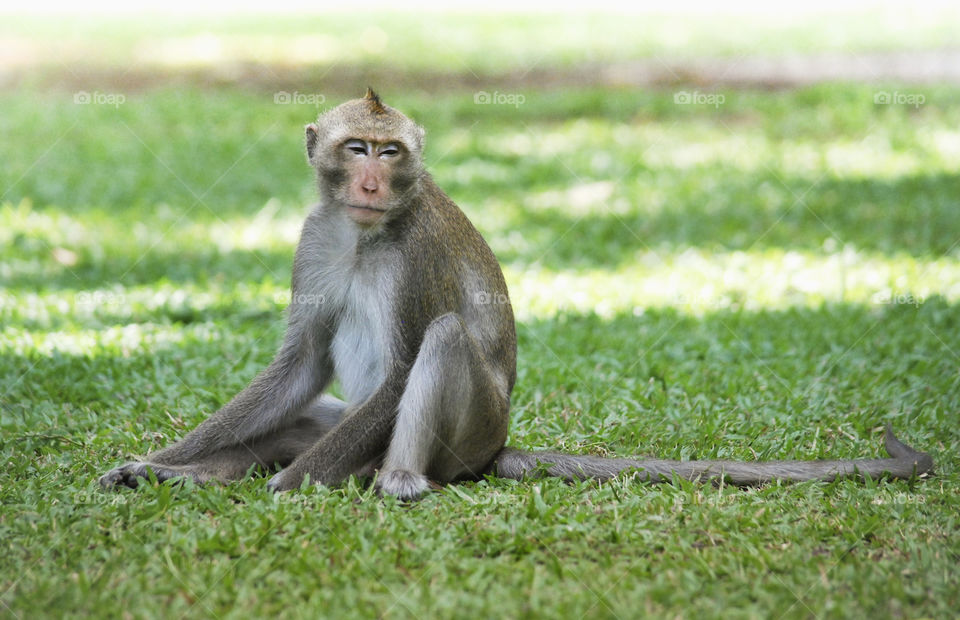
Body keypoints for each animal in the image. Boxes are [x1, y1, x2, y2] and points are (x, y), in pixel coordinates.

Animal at [101, 89, 932, 502]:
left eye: (390, 152)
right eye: (355, 148)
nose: (370, 182)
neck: (367, 234)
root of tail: (497, 447)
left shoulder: (418, 252)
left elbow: (403, 367)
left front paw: (284, 487)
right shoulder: (315, 237)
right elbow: (298, 368)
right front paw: (164, 461)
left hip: (469, 436)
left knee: (441, 341)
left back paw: (398, 479)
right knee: (303, 419)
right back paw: (184, 478)